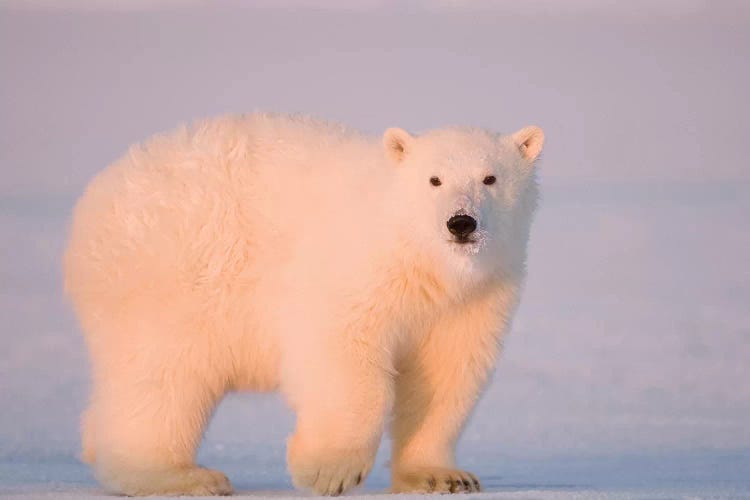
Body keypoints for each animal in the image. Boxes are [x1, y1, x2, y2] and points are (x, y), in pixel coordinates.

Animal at [63, 113, 548, 496]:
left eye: (490, 178)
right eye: (434, 180)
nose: (461, 222)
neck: (427, 263)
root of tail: (93, 203)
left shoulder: (473, 298)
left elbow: (447, 375)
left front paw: (441, 476)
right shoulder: (356, 267)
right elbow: (342, 350)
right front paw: (328, 470)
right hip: (171, 274)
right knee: (163, 377)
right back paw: (180, 476)